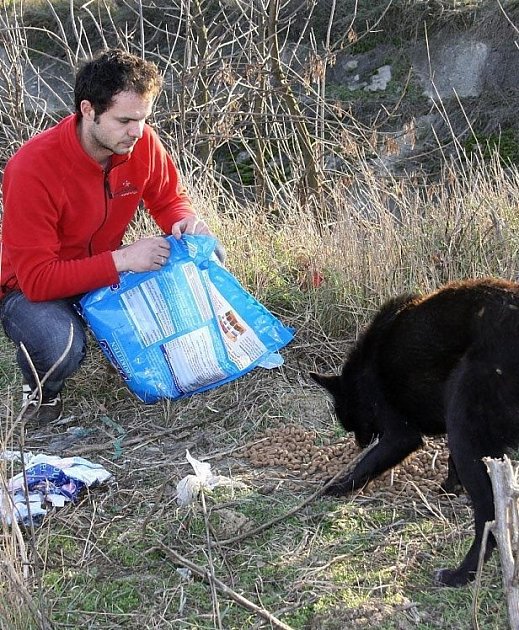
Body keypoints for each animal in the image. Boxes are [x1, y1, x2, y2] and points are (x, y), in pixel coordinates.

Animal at [310, 278, 519, 592]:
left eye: (350, 423)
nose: (359, 443)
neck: (362, 373)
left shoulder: (401, 436)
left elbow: (365, 466)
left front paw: (339, 485)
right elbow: (450, 462)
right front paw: (450, 486)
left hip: (462, 415)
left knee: (489, 516)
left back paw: (462, 574)